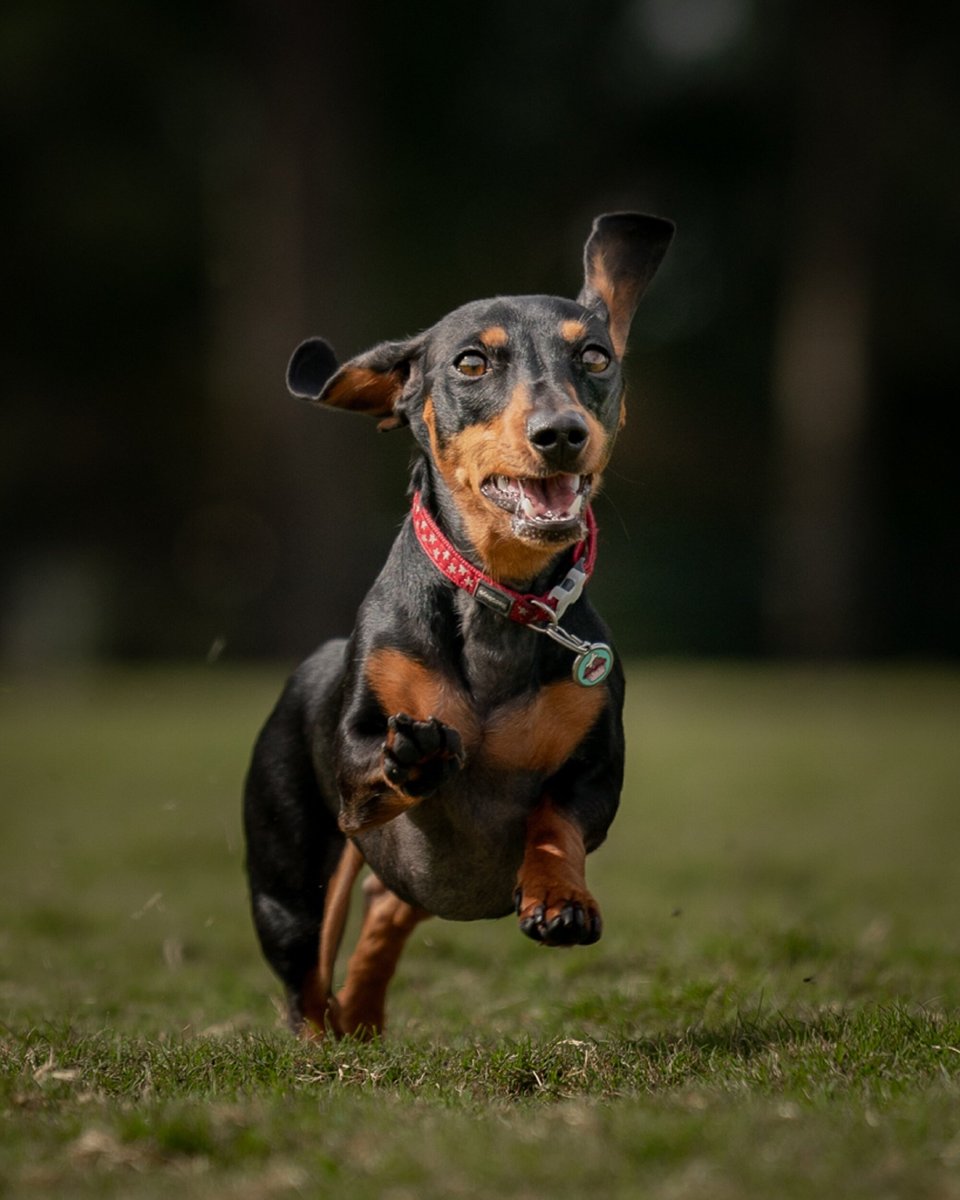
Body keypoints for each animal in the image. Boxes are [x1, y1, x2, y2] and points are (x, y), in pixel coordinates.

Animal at [242, 211, 676, 1036]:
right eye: (472, 362)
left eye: (595, 356)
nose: (560, 432)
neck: (500, 602)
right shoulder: (356, 769)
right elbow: (377, 764)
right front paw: (414, 757)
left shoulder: (595, 773)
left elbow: (555, 821)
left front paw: (560, 898)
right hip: (289, 882)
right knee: (305, 983)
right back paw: (324, 1038)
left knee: (384, 913)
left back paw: (364, 1018)